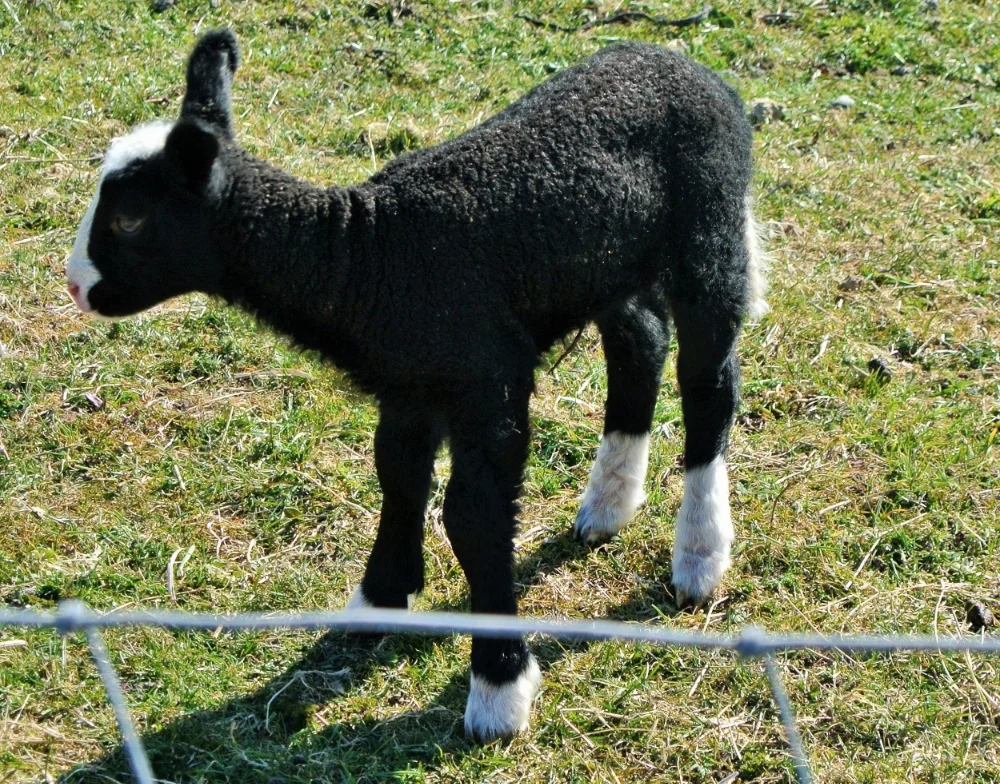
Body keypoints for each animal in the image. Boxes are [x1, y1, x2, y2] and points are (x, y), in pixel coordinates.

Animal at [66, 29, 767, 744]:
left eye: (129, 219)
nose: (75, 286)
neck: (370, 255)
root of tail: (684, 62)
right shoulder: (409, 387)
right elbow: (398, 478)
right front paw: (380, 599)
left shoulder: (487, 383)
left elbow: (474, 516)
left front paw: (498, 687)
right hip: (605, 265)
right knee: (640, 342)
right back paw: (608, 504)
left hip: (710, 229)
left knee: (709, 382)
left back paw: (700, 554)